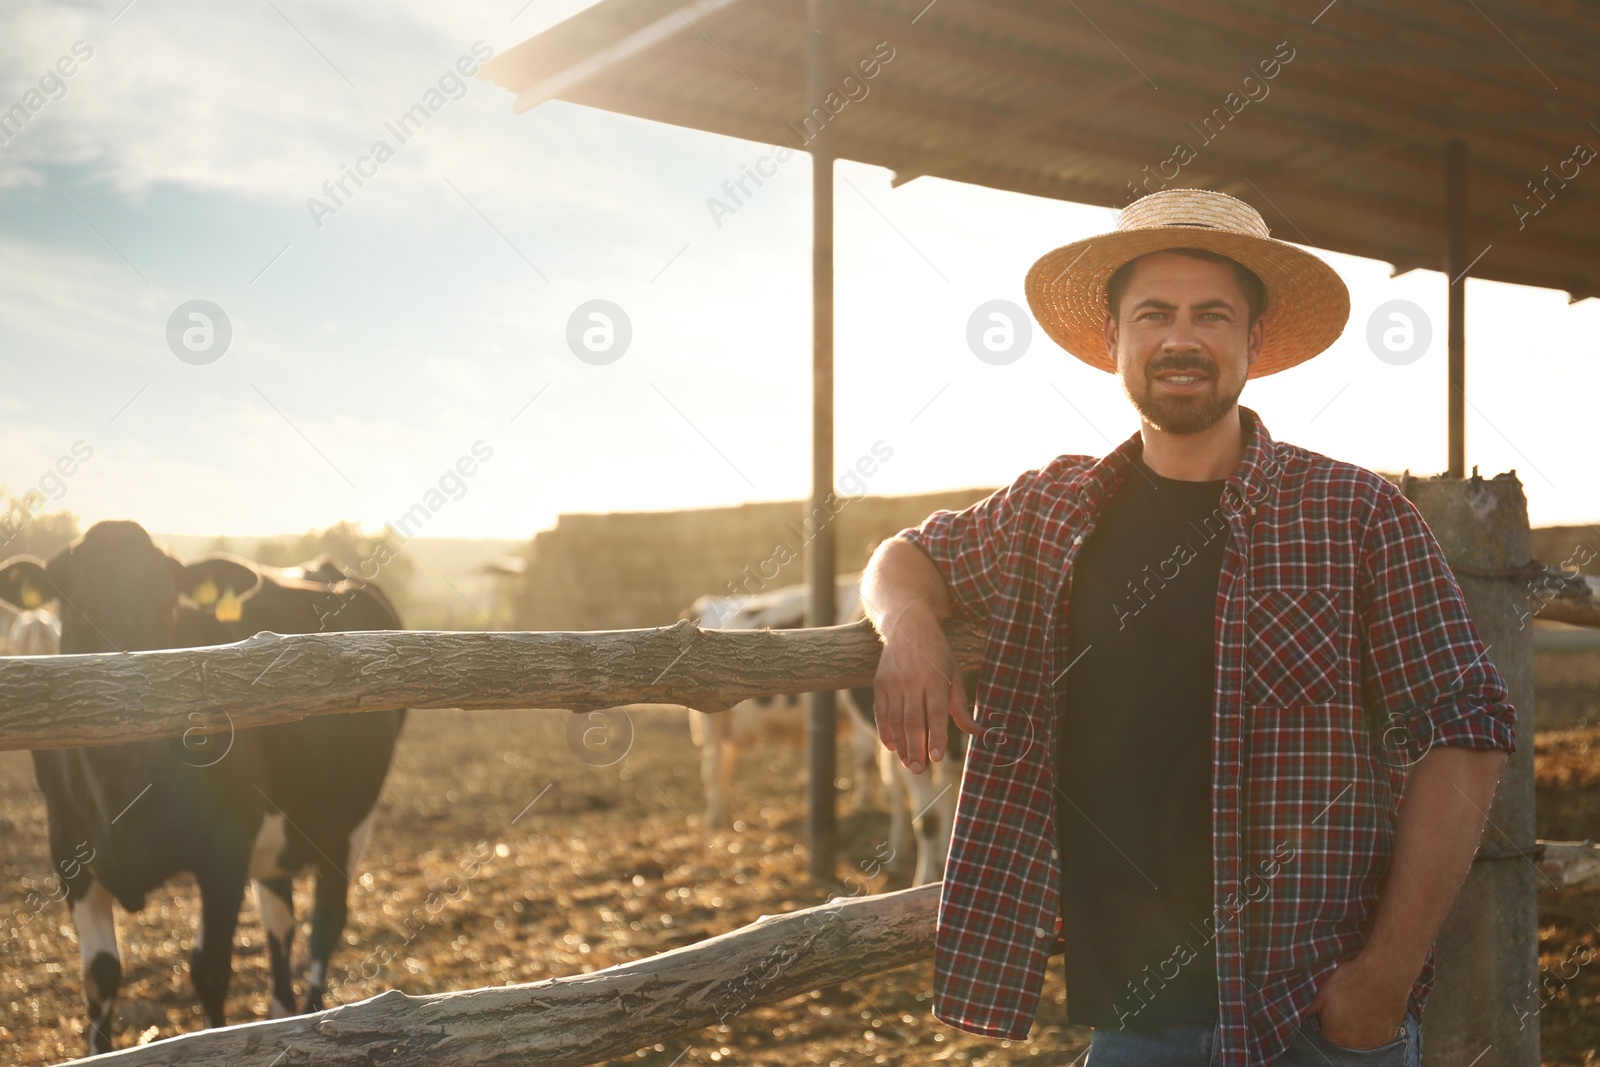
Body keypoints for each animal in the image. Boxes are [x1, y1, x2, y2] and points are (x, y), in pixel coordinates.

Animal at [0, 521, 406, 1055]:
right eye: (73, 608)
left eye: (168, 609)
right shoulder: (67, 845)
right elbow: (100, 976)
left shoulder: (224, 851)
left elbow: (209, 969)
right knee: (281, 922)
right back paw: (282, 1015)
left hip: (350, 823)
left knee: (325, 924)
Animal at [675, 575, 876, 831]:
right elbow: (867, 758)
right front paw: (863, 807)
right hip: (711, 717)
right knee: (713, 767)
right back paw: (717, 823)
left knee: (725, 765)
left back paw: (726, 818)